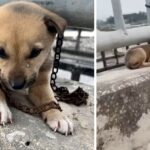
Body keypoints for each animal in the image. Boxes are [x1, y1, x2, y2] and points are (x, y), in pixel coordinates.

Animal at [0, 0, 73, 135]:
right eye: (0, 52)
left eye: (35, 52)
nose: (17, 86)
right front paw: (1, 108)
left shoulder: (41, 84)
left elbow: (49, 100)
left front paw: (59, 117)